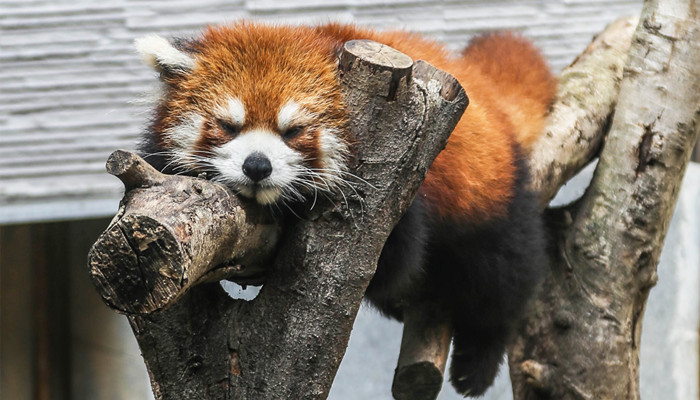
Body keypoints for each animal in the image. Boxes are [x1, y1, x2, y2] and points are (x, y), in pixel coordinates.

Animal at [134, 21, 556, 396]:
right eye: (228, 126)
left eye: (293, 131)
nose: (257, 165)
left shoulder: (400, 192)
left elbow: (395, 262)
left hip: (492, 199)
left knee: (502, 277)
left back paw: (480, 359)